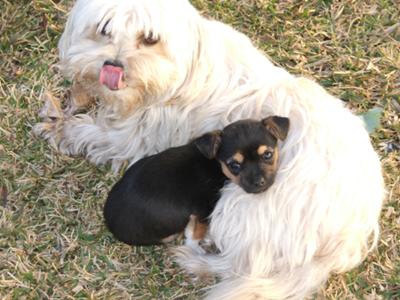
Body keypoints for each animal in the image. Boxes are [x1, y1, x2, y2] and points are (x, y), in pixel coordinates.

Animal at [104, 116, 290, 245]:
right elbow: (197, 233)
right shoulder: (204, 209)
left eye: (268, 155)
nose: (259, 183)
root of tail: (110, 224)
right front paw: (198, 242)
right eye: (234, 165)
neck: (216, 164)